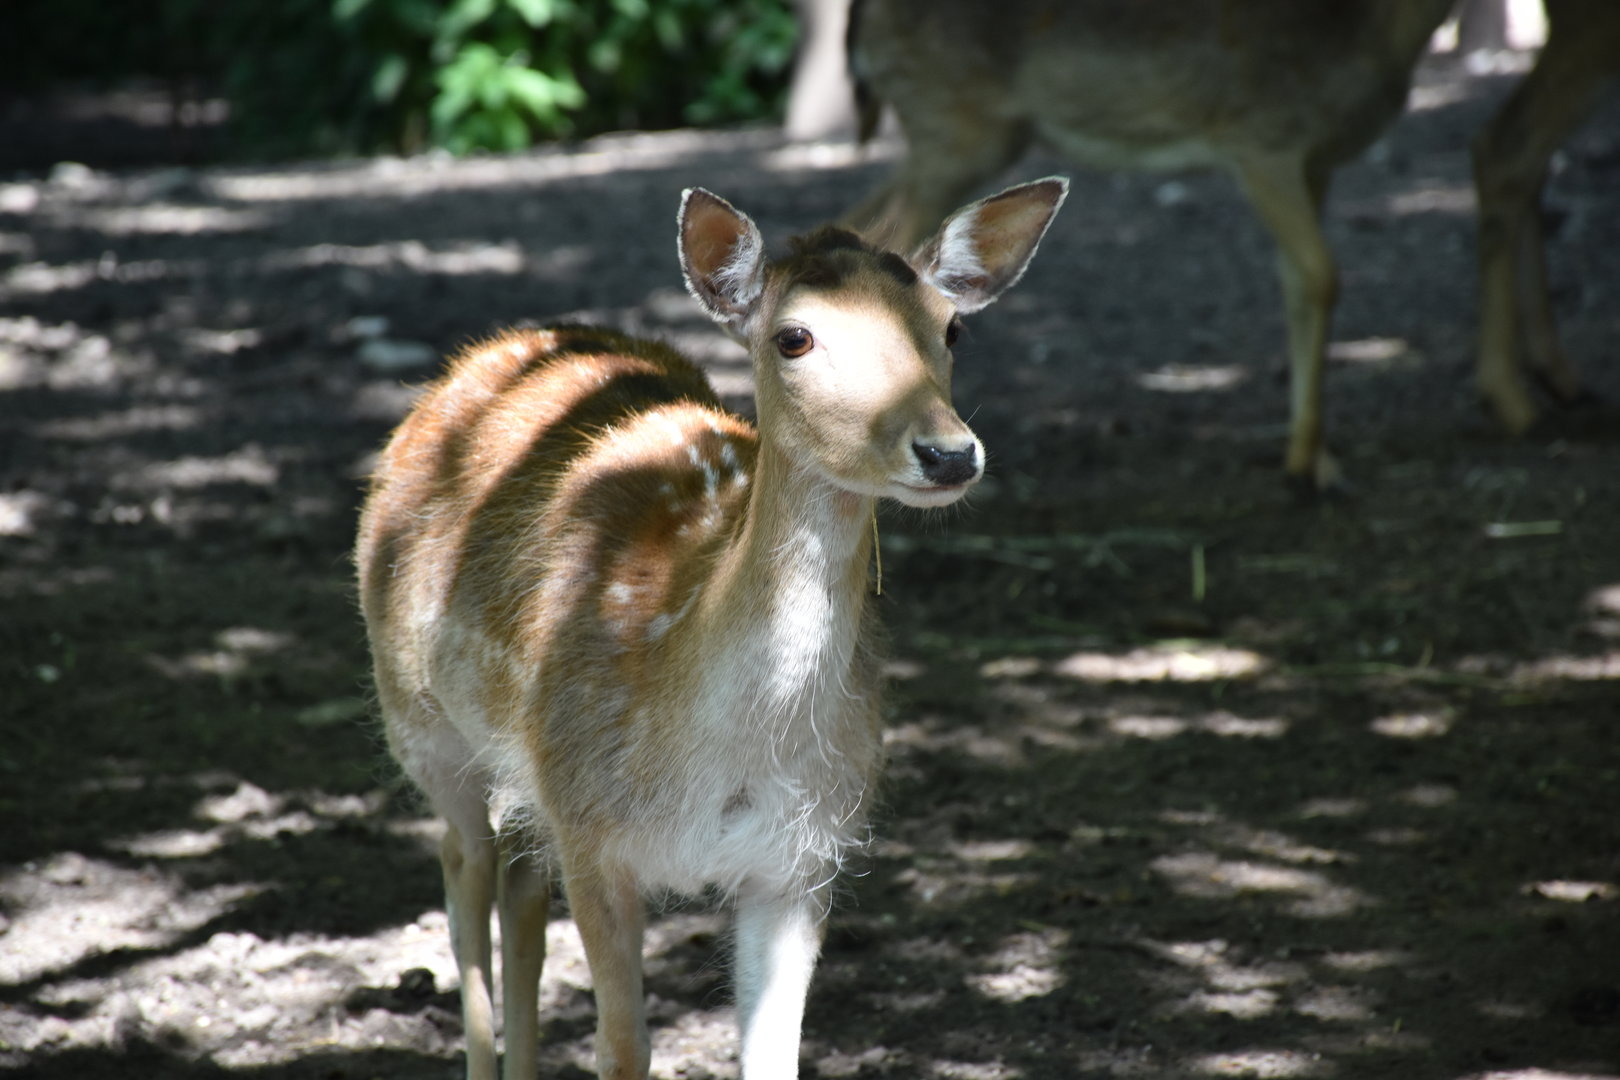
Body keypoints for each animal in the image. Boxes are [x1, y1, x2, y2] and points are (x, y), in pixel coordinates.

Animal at [354, 178, 1067, 1080]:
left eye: (952, 327)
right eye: (794, 336)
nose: (948, 453)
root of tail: (495, 348)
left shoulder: (803, 856)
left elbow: (775, 1055)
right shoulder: (595, 836)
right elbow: (623, 1049)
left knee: (517, 883)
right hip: (420, 721)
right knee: (464, 874)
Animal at [845, 0, 1620, 489]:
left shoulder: (1313, 161)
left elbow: (1299, 279)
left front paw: (1309, 454)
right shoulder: (1260, 136)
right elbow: (1325, 274)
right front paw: (1310, 464)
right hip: (956, 123)